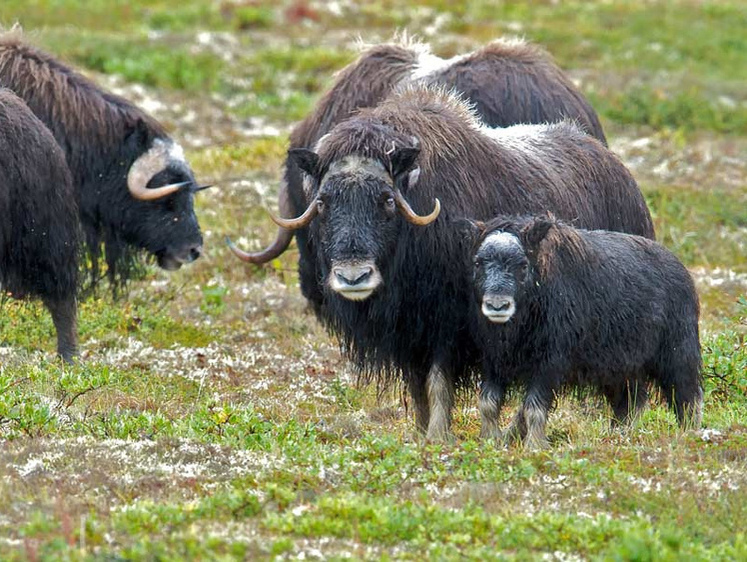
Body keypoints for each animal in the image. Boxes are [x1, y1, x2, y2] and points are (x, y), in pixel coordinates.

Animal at [229, 85, 656, 440]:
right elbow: (417, 385)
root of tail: (620, 170)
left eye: (386, 200)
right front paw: (421, 434)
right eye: (323, 202)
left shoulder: (447, 322)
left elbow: (437, 381)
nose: (354, 276)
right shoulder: (407, 332)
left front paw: (438, 436)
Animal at [470, 212, 704, 448]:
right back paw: (618, 434)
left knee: (687, 395)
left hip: (677, 353)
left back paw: (689, 434)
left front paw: (534, 446)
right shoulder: (494, 362)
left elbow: (533, 408)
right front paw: (490, 441)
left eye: (523, 265)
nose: (497, 306)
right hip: (621, 367)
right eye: (479, 262)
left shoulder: (549, 364)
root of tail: (680, 268)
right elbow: (488, 403)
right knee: (631, 400)